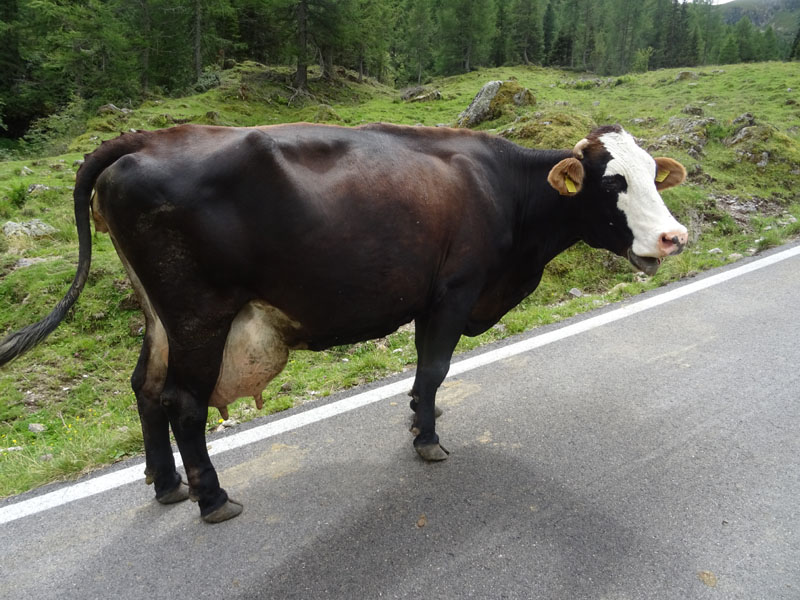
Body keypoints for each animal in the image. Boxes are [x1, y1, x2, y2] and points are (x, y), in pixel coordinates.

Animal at [0, 122, 688, 520]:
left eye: (655, 176)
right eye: (612, 185)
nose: (674, 237)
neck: (506, 192)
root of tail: (147, 139)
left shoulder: (429, 300)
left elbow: (424, 376)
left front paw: (418, 421)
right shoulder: (454, 291)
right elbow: (434, 369)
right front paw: (428, 440)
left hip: (161, 316)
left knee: (144, 387)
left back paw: (167, 484)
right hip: (200, 314)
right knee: (183, 402)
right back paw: (212, 498)